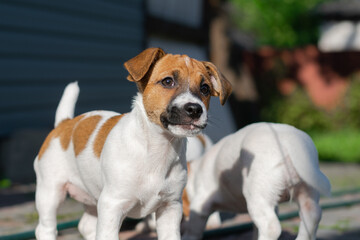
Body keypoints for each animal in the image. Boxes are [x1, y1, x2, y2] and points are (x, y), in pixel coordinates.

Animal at [33, 47, 231, 240]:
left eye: (205, 89)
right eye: (168, 81)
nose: (195, 109)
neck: (158, 149)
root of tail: (65, 123)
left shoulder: (170, 207)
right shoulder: (112, 205)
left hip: (91, 198)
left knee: (86, 225)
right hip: (50, 192)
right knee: (45, 229)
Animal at [183, 123, 332, 240]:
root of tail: (291, 143)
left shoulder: (200, 204)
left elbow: (194, 228)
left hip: (257, 194)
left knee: (271, 228)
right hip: (306, 189)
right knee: (312, 215)